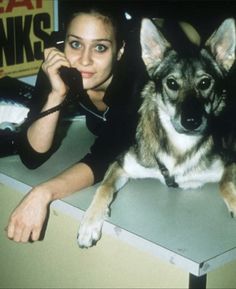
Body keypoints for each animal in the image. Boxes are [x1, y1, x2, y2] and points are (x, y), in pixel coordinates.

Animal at [78, 17, 236, 248]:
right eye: (172, 83)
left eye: (205, 83)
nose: (191, 122)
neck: (180, 146)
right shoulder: (121, 165)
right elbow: (103, 188)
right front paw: (89, 224)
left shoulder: (229, 161)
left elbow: (224, 183)